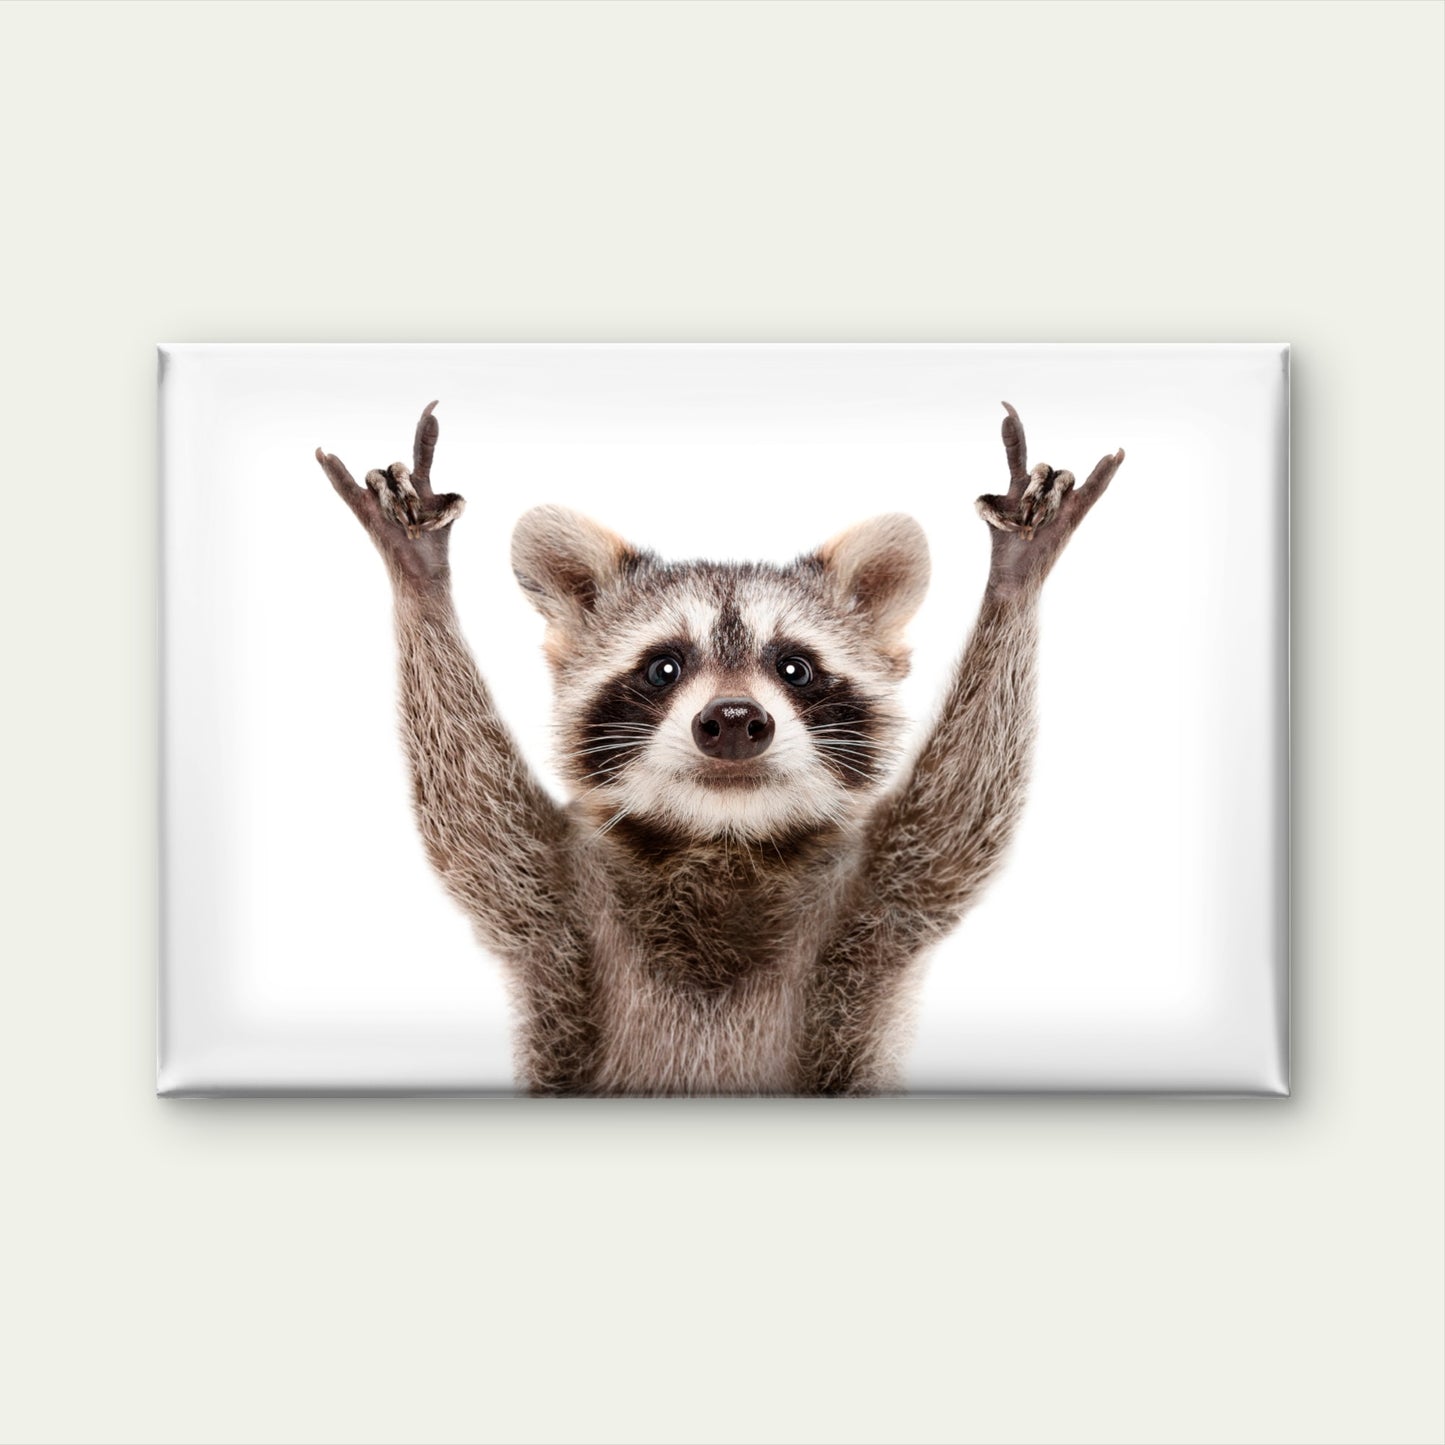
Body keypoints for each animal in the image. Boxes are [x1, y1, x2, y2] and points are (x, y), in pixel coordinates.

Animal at [317, 400, 1123, 1095]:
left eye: (794, 667)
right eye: (663, 667)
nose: (734, 719)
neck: (723, 838)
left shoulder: (878, 899)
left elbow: (961, 810)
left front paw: (1014, 578)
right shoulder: (554, 902)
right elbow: (470, 811)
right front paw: (420, 579)